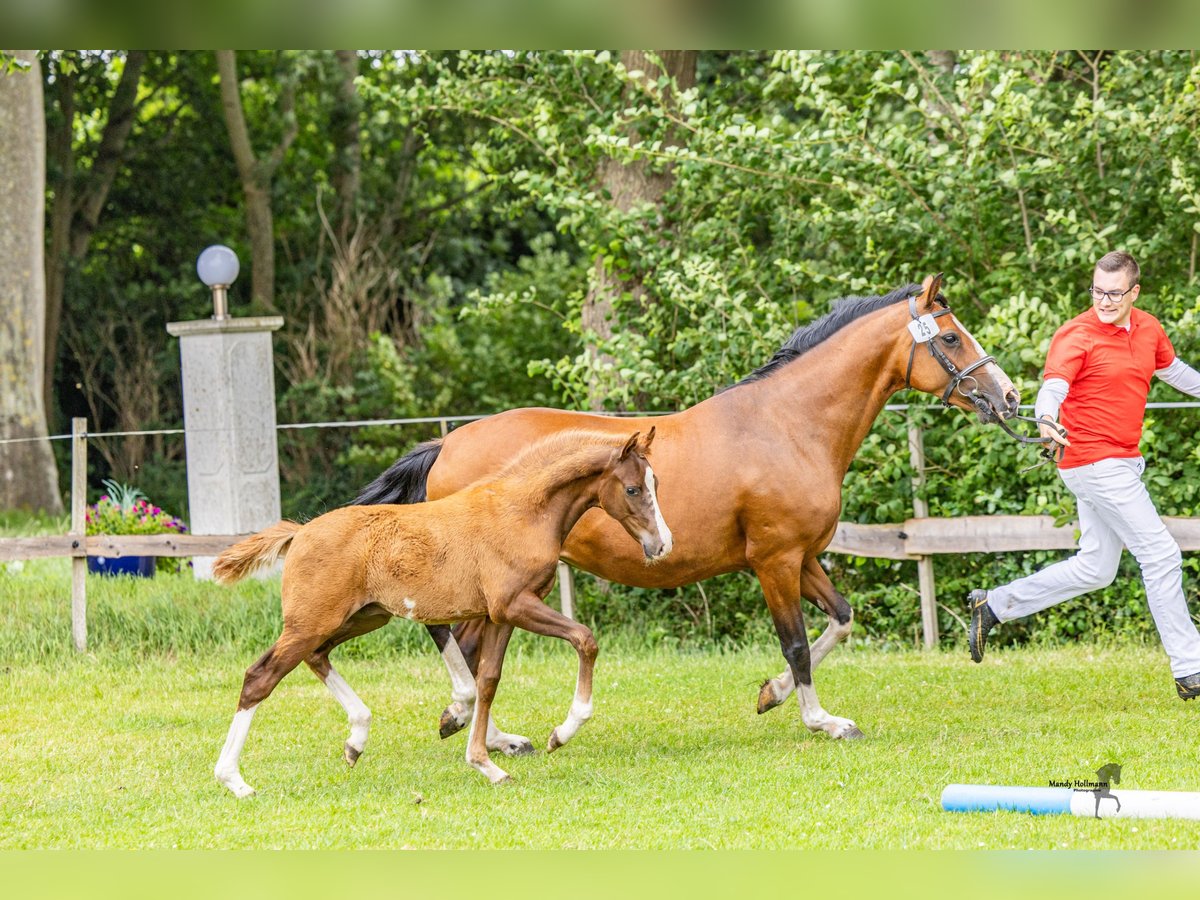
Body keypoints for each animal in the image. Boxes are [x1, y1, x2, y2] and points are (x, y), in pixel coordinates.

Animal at [211, 428, 670, 794]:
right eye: (633, 489)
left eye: (656, 483)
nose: (662, 544)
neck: (522, 510)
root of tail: (301, 532)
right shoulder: (516, 605)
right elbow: (584, 640)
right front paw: (560, 733)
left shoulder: (501, 616)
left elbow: (487, 681)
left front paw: (487, 763)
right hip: (313, 622)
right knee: (260, 677)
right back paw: (235, 780)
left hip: (364, 616)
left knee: (316, 656)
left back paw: (356, 739)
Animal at [355, 273, 1020, 745]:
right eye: (952, 336)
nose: (1009, 397)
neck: (789, 424)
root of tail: (448, 443)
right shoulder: (775, 561)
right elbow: (798, 643)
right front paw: (822, 721)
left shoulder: (802, 557)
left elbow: (841, 619)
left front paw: (771, 694)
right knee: (452, 637)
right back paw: (476, 721)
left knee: (469, 646)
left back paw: (486, 732)